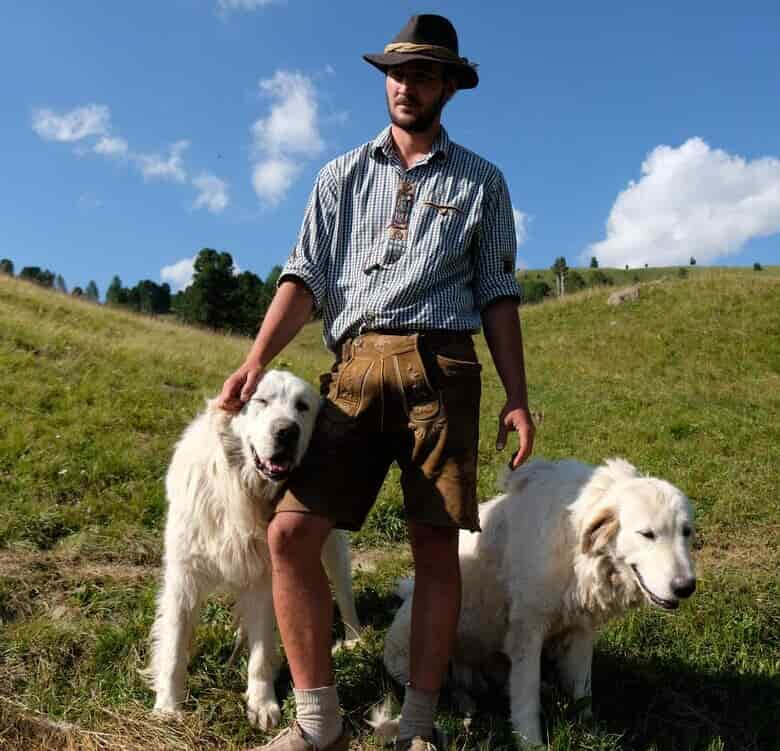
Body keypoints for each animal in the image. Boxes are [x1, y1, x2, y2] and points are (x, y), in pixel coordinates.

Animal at [145, 374, 362, 732]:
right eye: (261, 401)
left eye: (302, 407)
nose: (287, 431)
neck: (242, 491)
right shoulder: (183, 577)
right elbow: (174, 647)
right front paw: (168, 708)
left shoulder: (264, 577)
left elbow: (260, 651)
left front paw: (262, 704)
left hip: (329, 545)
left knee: (344, 590)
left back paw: (355, 639)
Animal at [382, 458, 696, 748]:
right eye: (647, 534)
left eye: (686, 532)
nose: (686, 587)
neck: (573, 543)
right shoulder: (528, 631)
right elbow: (526, 697)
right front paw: (530, 743)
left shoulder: (581, 629)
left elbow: (582, 689)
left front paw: (589, 731)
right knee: (445, 686)